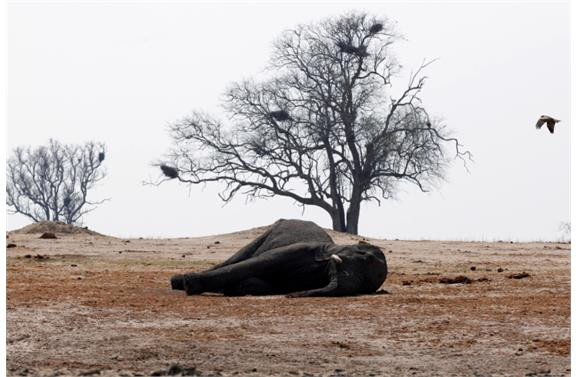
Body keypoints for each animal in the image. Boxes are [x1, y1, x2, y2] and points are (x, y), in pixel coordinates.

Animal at [172, 217, 390, 296]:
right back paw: (178, 281)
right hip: (268, 231)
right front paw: (189, 285)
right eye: (365, 257)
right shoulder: (301, 248)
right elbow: (257, 263)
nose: (292, 296)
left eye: (365, 286)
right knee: (237, 259)